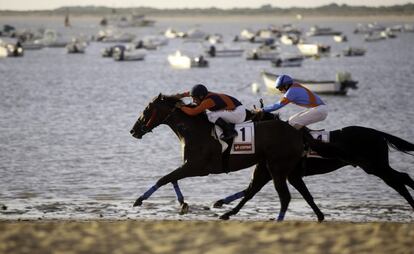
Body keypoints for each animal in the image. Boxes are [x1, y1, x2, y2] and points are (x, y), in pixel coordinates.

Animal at [131, 94, 326, 221]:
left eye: (147, 110)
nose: (133, 131)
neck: (194, 130)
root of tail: (296, 131)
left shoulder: (195, 167)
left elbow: (165, 178)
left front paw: (139, 199)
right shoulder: (189, 166)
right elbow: (172, 179)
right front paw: (182, 203)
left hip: (277, 168)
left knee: (284, 196)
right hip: (276, 168)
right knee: (269, 191)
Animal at [213, 127, 414, 220]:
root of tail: (378, 134)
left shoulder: (286, 174)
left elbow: (250, 192)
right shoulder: (276, 173)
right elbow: (249, 192)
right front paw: (224, 207)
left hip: (375, 166)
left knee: (400, 180)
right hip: (375, 166)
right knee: (401, 178)